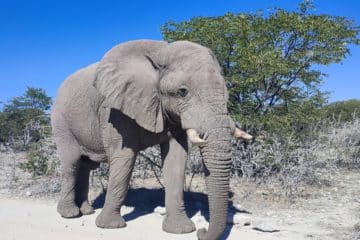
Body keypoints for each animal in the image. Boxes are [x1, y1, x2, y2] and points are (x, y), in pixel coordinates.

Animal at [51, 39, 253, 240]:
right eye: (182, 92)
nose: (201, 232)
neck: (161, 53)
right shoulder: (113, 109)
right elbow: (124, 158)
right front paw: (110, 226)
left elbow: (176, 159)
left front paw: (180, 230)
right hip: (61, 122)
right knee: (72, 164)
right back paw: (70, 214)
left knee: (86, 166)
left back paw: (87, 211)